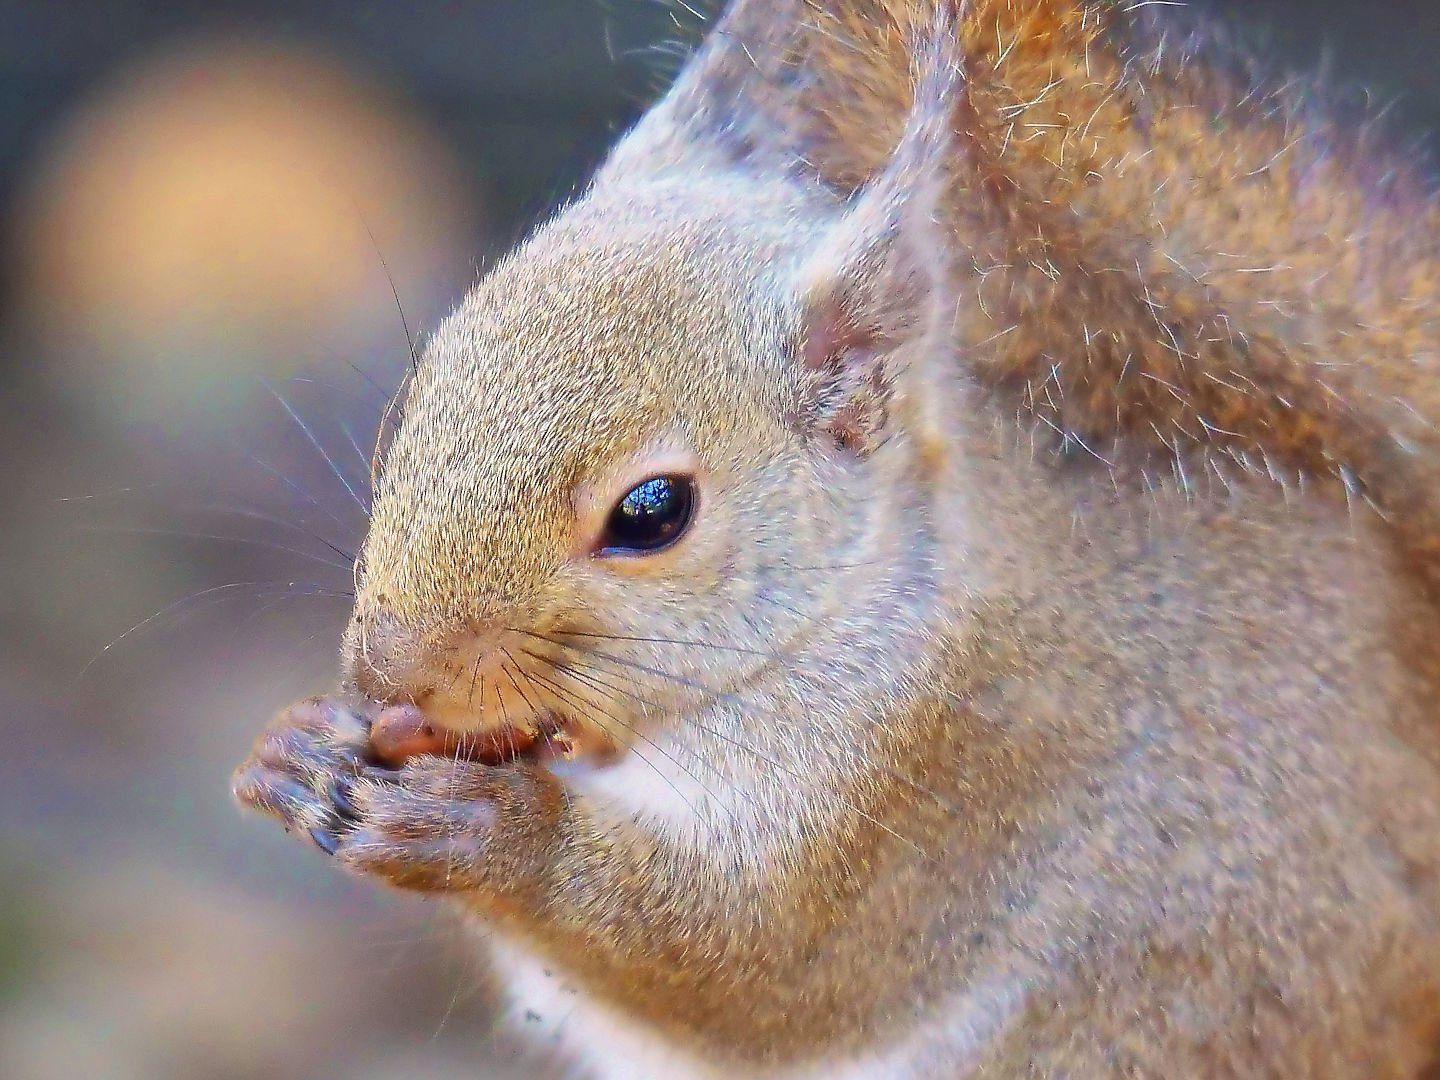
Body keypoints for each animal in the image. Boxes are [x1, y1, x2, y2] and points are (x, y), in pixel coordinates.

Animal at [232, 1, 1440, 1076]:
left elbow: (749, 963)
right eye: (409, 404)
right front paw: (299, 751)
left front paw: (489, 833)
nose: (387, 671)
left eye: (652, 513)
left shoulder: (911, 788)